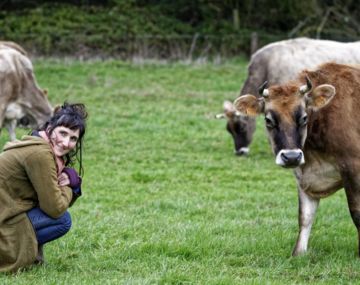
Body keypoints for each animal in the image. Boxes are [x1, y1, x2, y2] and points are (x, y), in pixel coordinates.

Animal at [233, 62, 360, 255]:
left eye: (304, 117)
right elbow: (305, 216)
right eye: (268, 120)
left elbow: (357, 213)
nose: (291, 156)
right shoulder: (302, 175)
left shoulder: (353, 167)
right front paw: (298, 253)